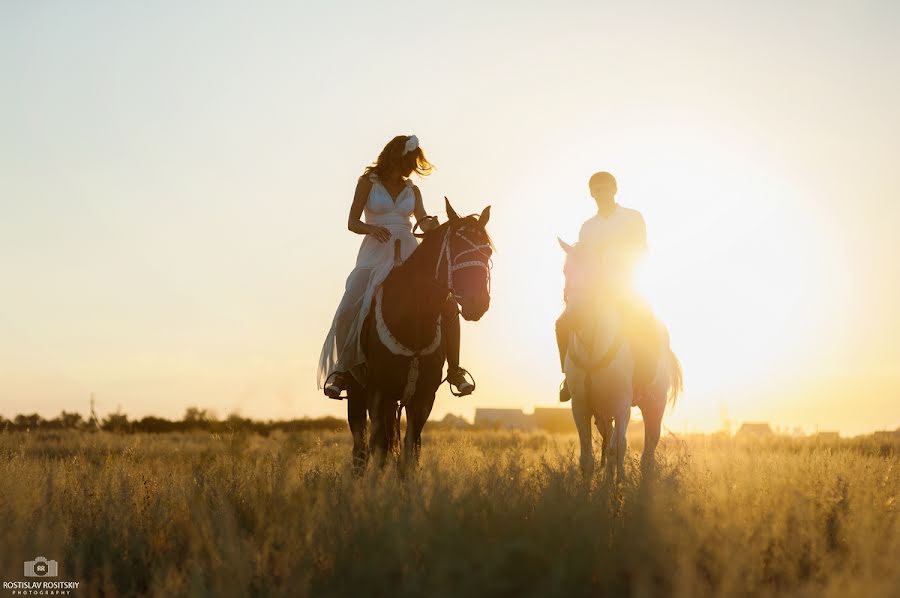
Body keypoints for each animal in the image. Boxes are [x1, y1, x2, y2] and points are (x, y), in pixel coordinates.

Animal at [348, 202, 496, 474]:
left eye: (487, 250)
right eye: (455, 248)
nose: (477, 302)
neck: (412, 318)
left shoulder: (423, 397)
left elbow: (409, 451)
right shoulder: (379, 392)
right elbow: (380, 447)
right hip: (357, 394)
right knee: (360, 450)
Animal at [556, 241, 684, 480]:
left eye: (595, 273)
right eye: (565, 271)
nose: (573, 317)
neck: (592, 346)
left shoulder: (621, 406)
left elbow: (616, 450)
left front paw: (610, 488)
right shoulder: (581, 406)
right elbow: (588, 458)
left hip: (654, 406)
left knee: (646, 451)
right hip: (603, 413)